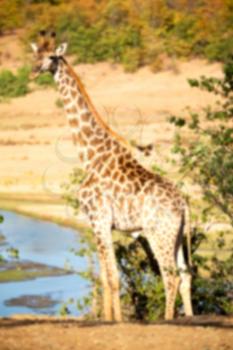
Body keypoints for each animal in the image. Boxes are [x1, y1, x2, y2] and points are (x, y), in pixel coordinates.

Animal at [30, 31, 193, 322]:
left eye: (51, 56)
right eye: (34, 54)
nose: (34, 70)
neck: (90, 155)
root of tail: (184, 203)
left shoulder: (99, 219)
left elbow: (112, 276)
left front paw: (115, 320)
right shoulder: (98, 223)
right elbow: (107, 277)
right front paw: (108, 318)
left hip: (159, 233)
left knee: (170, 276)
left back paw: (169, 319)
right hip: (177, 236)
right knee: (185, 276)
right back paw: (190, 317)